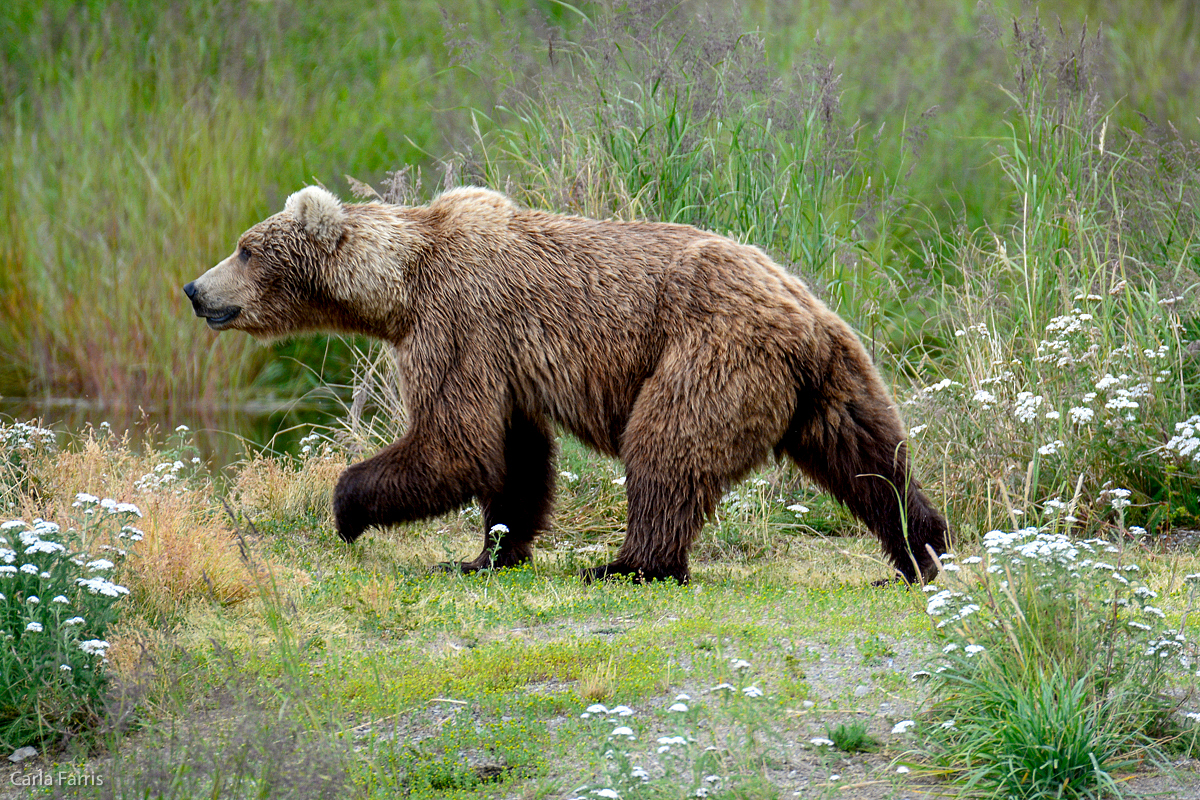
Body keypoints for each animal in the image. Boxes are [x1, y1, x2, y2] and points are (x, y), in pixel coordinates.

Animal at [182, 189, 945, 587]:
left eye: (245, 248)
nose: (194, 289)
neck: (399, 286)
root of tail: (804, 316)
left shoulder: (458, 323)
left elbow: (454, 443)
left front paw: (346, 507)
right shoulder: (504, 363)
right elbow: (513, 459)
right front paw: (485, 552)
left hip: (710, 355)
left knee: (665, 449)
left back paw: (630, 564)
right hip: (835, 376)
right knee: (871, 458)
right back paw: (920, 550)